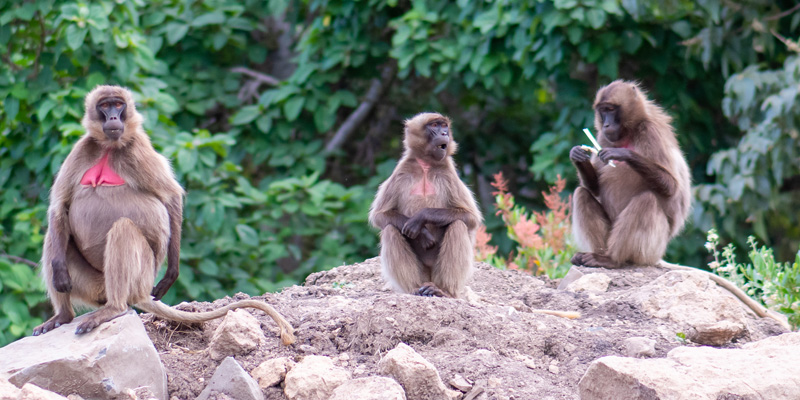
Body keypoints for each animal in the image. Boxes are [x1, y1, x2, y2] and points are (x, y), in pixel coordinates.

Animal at [34, 85, 296, 344]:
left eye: (118, 105)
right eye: (105, 105)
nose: (113, 118)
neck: (110, 147)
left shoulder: (137, 147)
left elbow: (171, 197)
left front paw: (172, 274)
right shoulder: (83, 147)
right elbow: (59, 207)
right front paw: (59, 270)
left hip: (139, 278)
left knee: (123, 229)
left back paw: (113, 309)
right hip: (94, 286)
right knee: (56, 236)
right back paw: (64, 315)